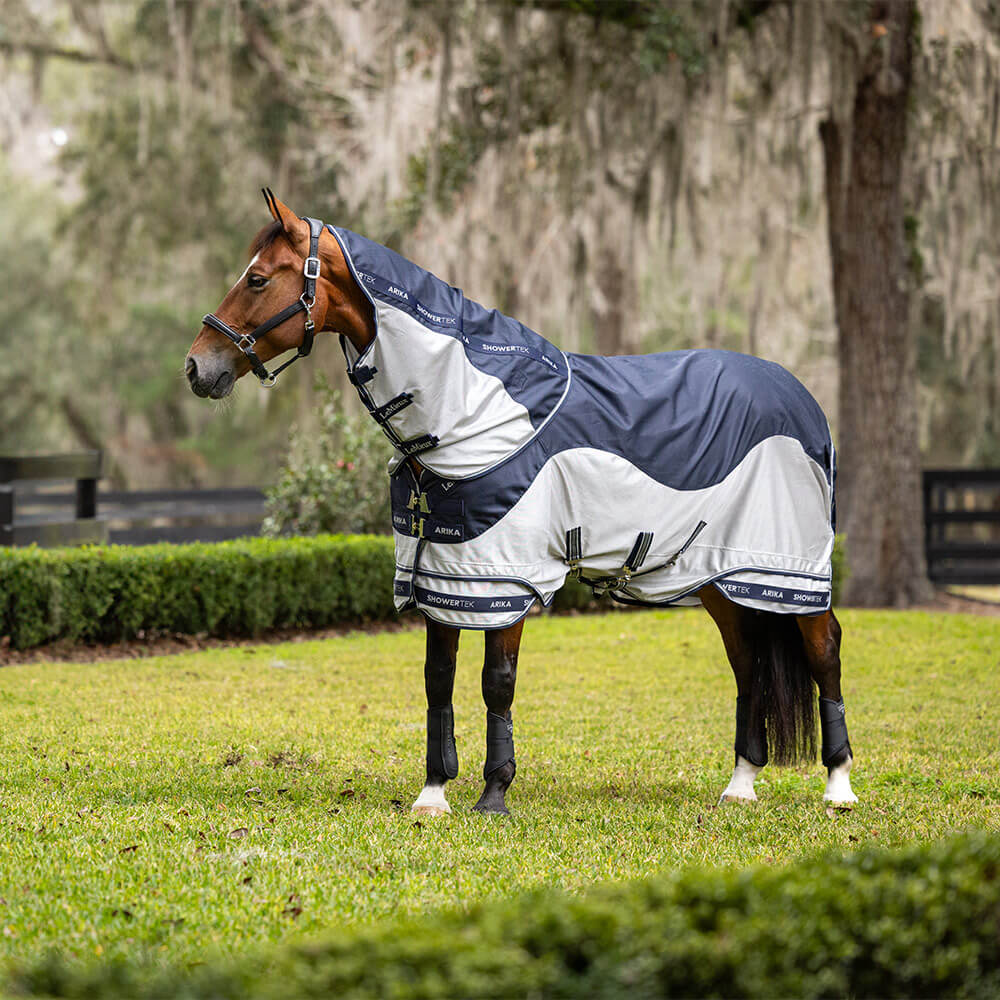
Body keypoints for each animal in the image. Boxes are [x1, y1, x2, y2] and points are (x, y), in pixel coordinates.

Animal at [185, 190, 857, 816]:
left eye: (257, 278)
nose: (197, 367)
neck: (475, 414)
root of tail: (801, 398)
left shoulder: (506, 580)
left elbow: (496, 683)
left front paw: (494, 793)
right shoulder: (445, 579)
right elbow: (438, 681)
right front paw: (433, 793)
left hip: (794, 572)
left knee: (823, 652)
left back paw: (839, 786)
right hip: (722, 576)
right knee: (749, 664)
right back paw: (740, 785)